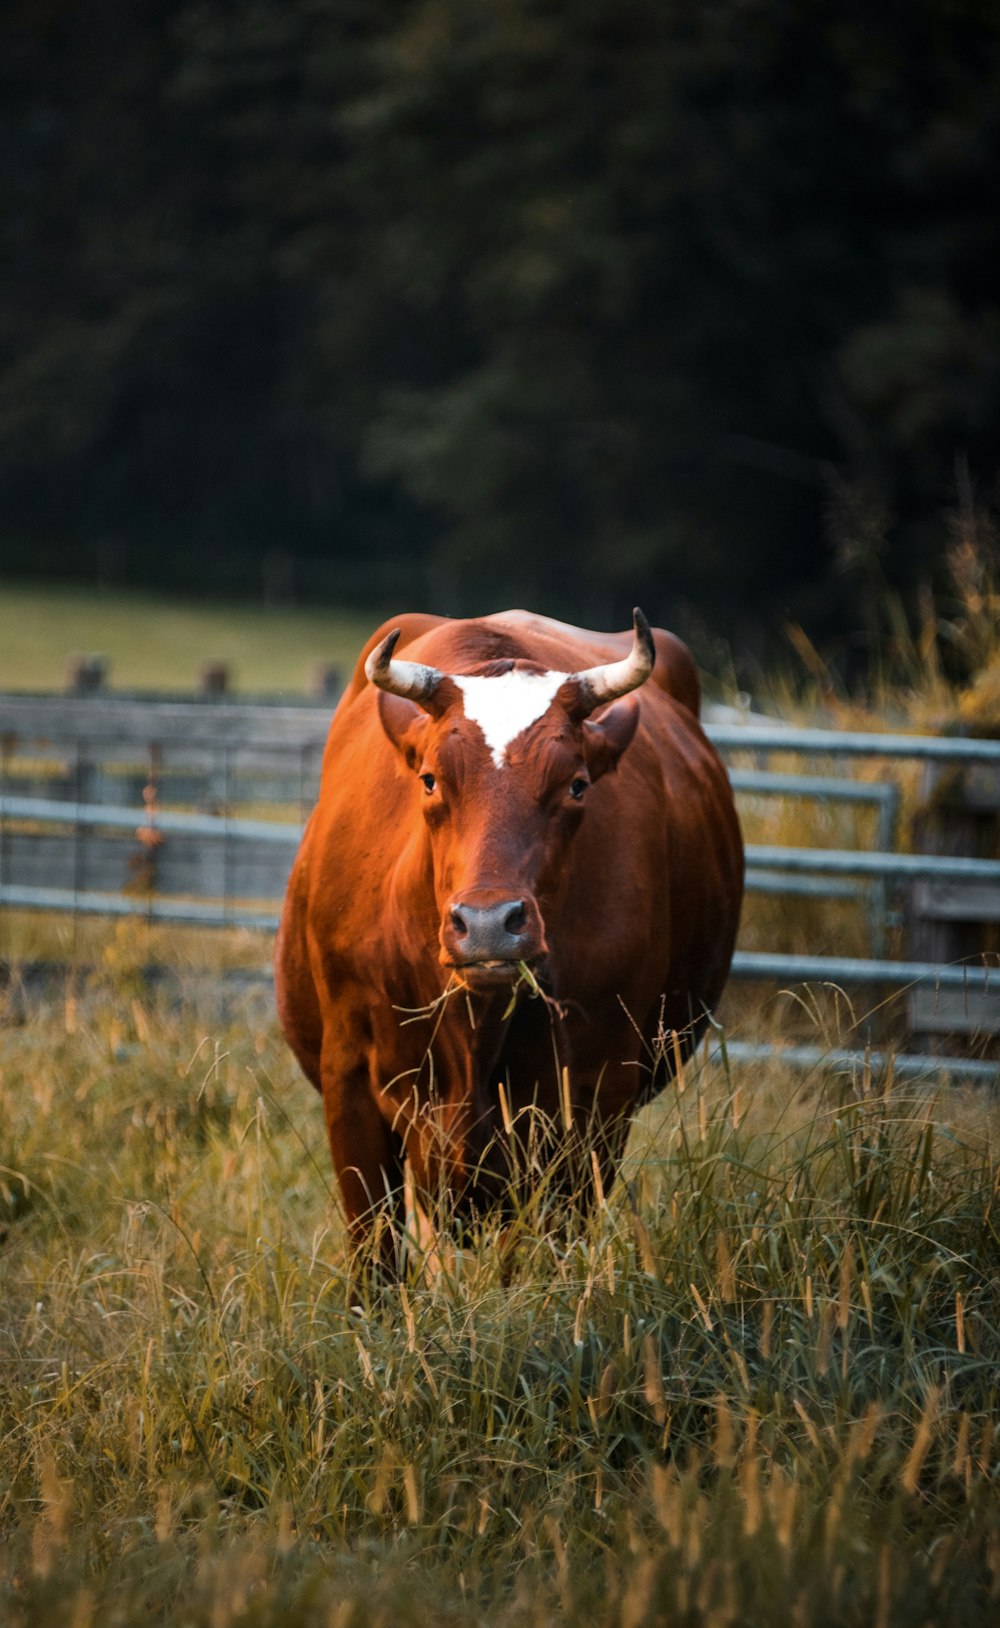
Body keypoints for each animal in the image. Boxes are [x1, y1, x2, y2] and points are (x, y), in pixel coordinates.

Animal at [276, 605, 745, 1263]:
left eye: (577, 784)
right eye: (429, 780)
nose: (488, 925)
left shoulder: (592, 1098)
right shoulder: (349, 1084)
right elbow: (375, 1253)